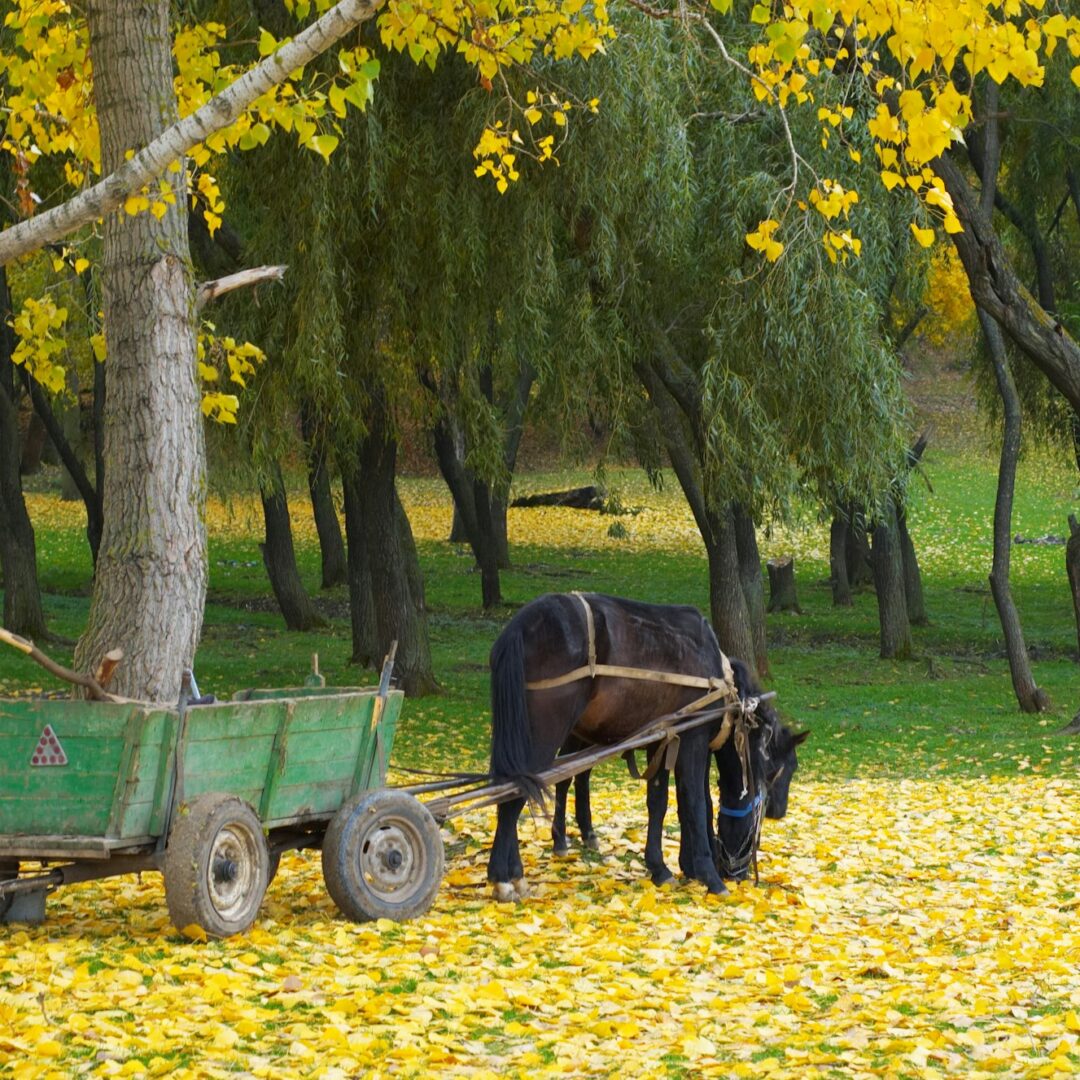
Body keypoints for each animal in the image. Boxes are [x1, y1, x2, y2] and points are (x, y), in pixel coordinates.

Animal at [552, 656, 807, 885]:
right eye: (787, 768)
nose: (779, 812)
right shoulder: (679, 745)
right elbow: (689, 803)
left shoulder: (694, 748)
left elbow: (695, 801)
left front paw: (690, 863)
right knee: (564, 779)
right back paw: (560, 839)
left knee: (582, 776)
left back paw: (588, 832)